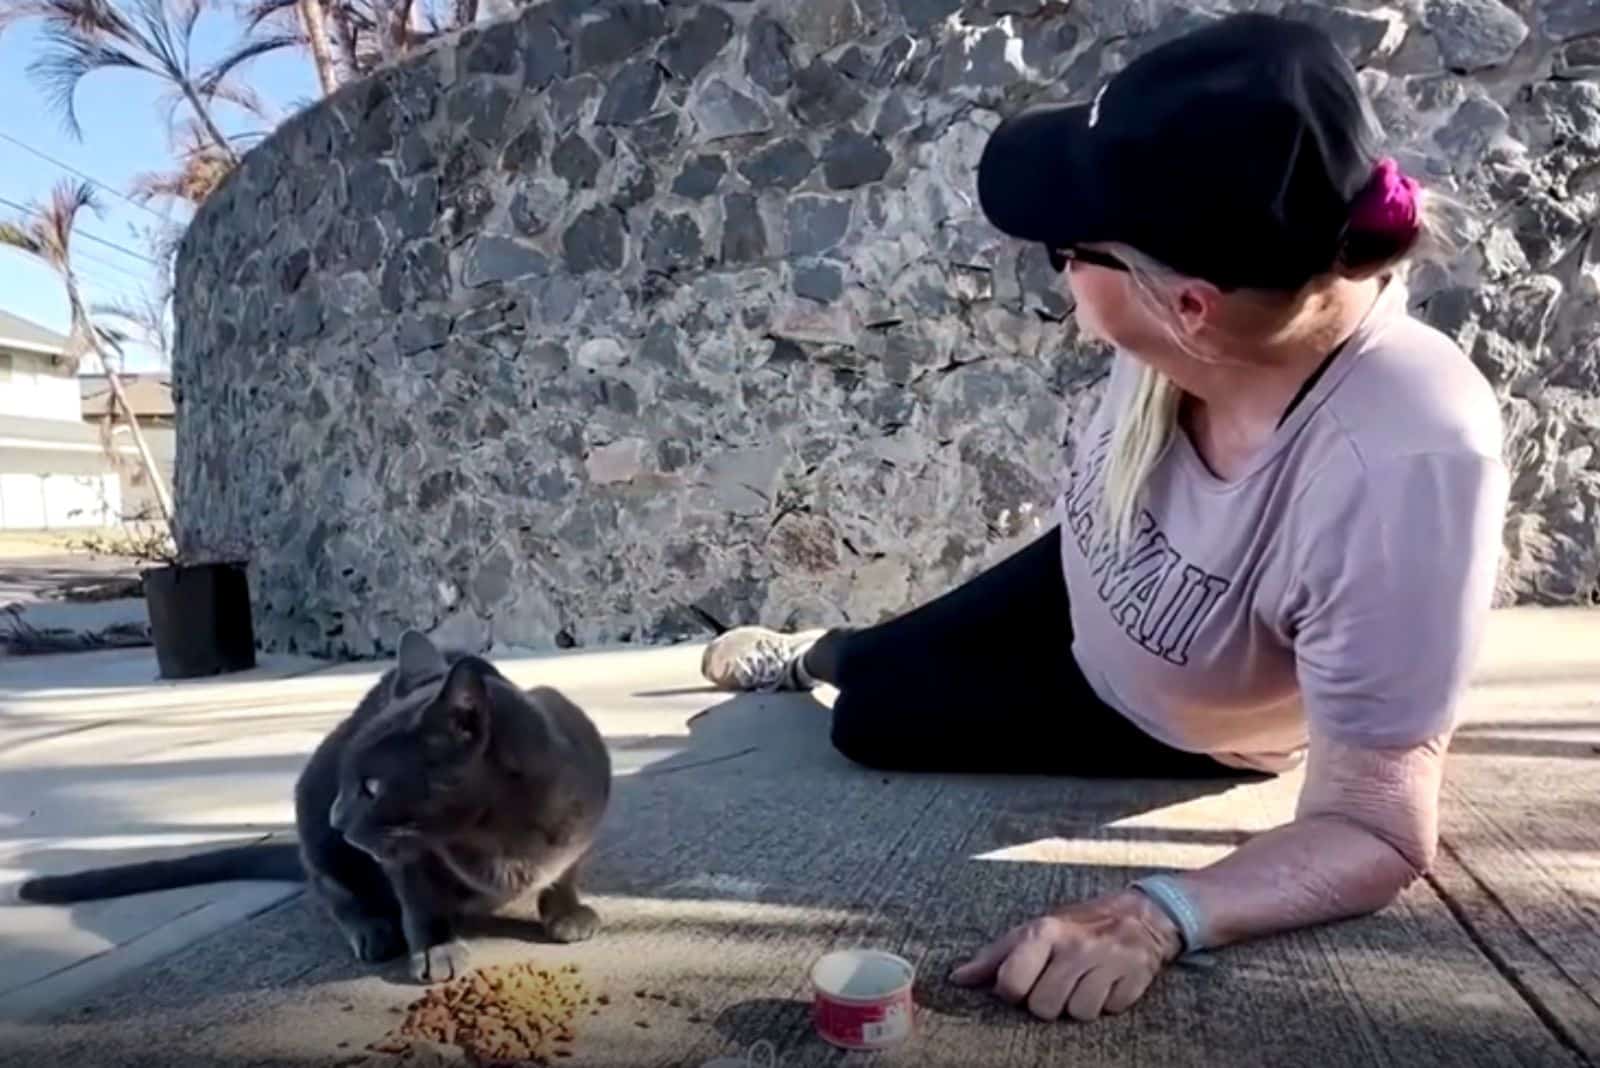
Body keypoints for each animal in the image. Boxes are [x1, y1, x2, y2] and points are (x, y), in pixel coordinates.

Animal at [21, 626, 608, 984]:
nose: (337, 816)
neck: (494, 838)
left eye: (372, 786)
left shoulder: (582, 825)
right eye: (347, 783)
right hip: (314, 830)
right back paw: (374, 929)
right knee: (331, 890)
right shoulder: (404, 858)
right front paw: (435, 949)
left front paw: (568, 913)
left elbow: (566, 872)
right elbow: (420, 903)